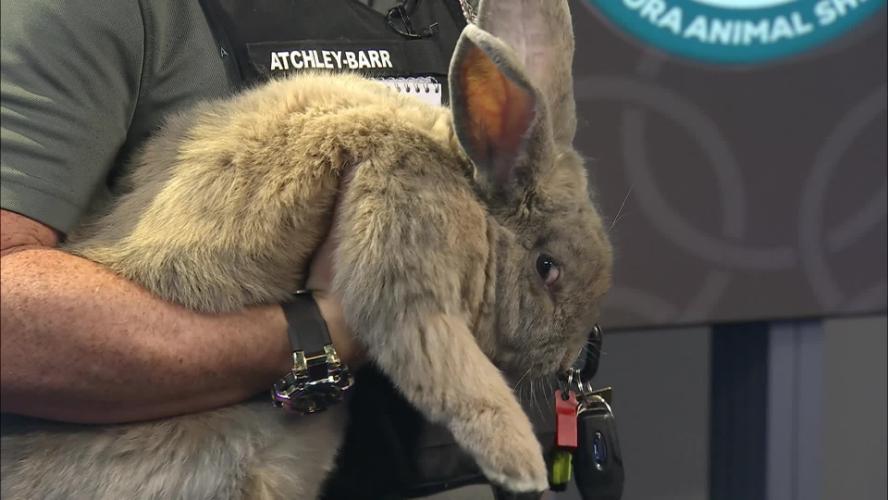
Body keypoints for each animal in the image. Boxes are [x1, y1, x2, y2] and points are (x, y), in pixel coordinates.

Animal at [0, 0, 612, 498]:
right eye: (547, 268)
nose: (564, 360)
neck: (463, 182)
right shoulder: (404, 242)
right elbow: (449, 368)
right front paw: (521, 466)